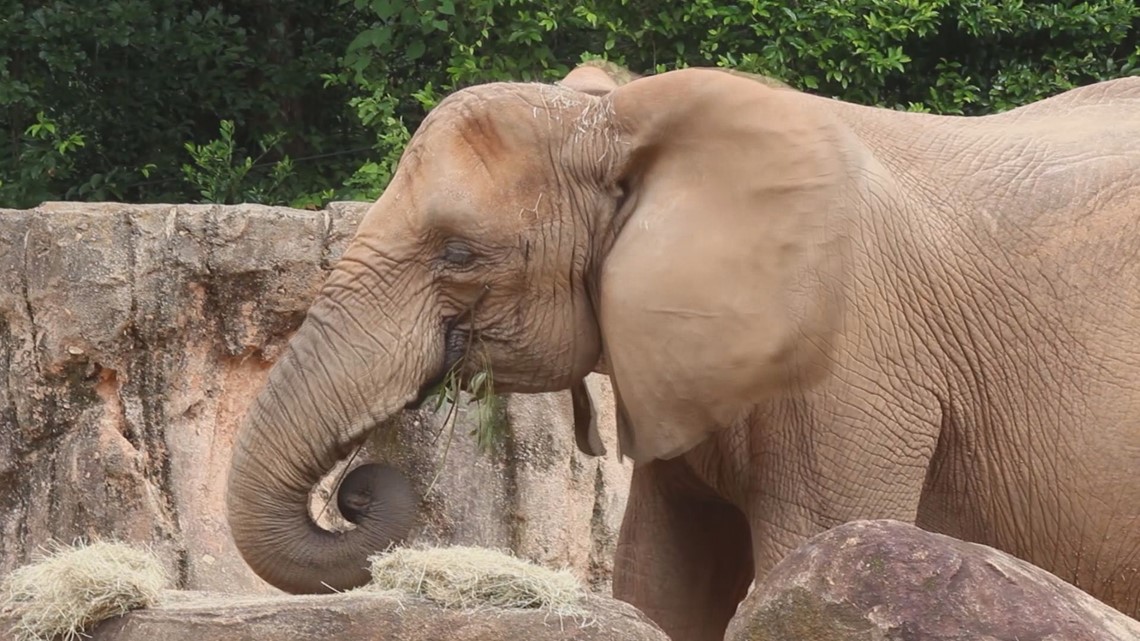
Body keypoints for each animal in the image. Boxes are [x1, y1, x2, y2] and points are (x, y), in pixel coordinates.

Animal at [225, 63, 1140, 641]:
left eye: (458, 252)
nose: (356, 493)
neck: (619, 118)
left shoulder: (850, 361)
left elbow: (810, 556)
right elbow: (663, 579)